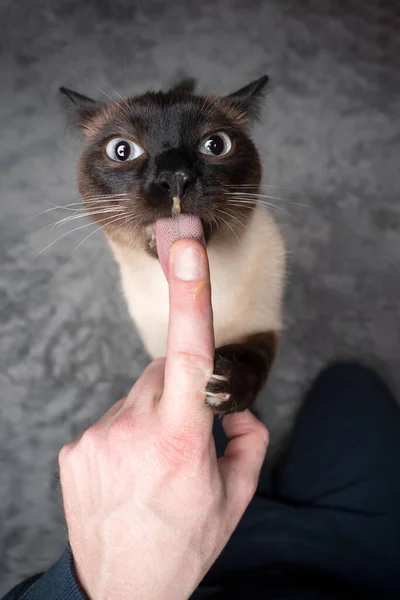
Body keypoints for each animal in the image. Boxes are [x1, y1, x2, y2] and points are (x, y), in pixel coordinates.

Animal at [58, 77, 284, 414]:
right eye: (122, 151)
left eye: (215, 145)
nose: (175, 177)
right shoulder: (158, 350)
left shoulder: (262, 326)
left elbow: (253, 358)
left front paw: (225, 386)